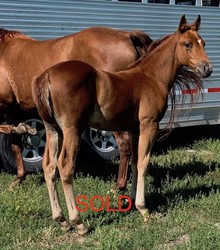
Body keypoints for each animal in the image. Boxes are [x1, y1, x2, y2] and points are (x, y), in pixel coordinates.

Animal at [0, 26, 152, 188]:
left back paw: (118, 186)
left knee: (124, 145)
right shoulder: (12, 111)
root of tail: (127, 35)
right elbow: (16, 144)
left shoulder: (6, 107)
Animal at [32, 15, 211, 234]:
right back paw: (78, 222)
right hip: (72, 129)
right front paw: (143, 208)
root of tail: (46, 75)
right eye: (187, 44)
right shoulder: (149, 125)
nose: (207, 69)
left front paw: (131, 200)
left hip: (52, 130)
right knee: (65, 166)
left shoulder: (134, 129)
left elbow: (134, 161)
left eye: (203, 43)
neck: (150, 78)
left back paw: (61, 220)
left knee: (48, 166)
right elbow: (144, 162)